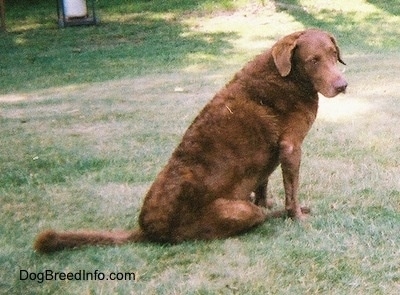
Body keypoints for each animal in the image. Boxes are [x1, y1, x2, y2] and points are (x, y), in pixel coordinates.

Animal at [34, 28, 346, 253]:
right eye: (313, 60)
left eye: (334, 54)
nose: (343, 85)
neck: (289, 77)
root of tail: (147, 231)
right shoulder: (291, 147)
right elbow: (292, 191)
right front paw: (298, 217)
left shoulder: (272, 153)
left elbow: (263, 183)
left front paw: (270, 201)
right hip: (237, 211)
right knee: (254, 217)